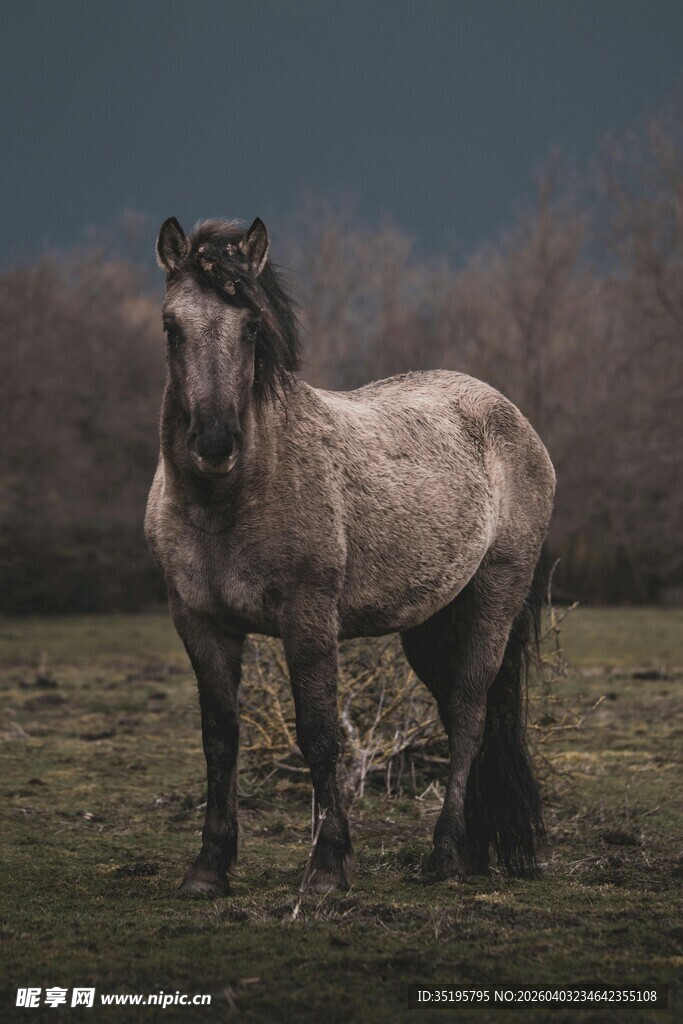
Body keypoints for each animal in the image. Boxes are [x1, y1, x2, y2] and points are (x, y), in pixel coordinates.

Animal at [144, 215, 556, 897]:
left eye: (252, 327)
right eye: (171, 326)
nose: (215, 443)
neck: (232, 497)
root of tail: (509, 415)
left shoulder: (309, 619)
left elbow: (318, 732)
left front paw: (328, 866)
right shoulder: (200, 623)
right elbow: (219, 738)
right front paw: (208, 868)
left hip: (495, 597)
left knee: (470, 713)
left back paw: (445, 853)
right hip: (431, 622)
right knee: (458, 715)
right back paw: (471, 853)